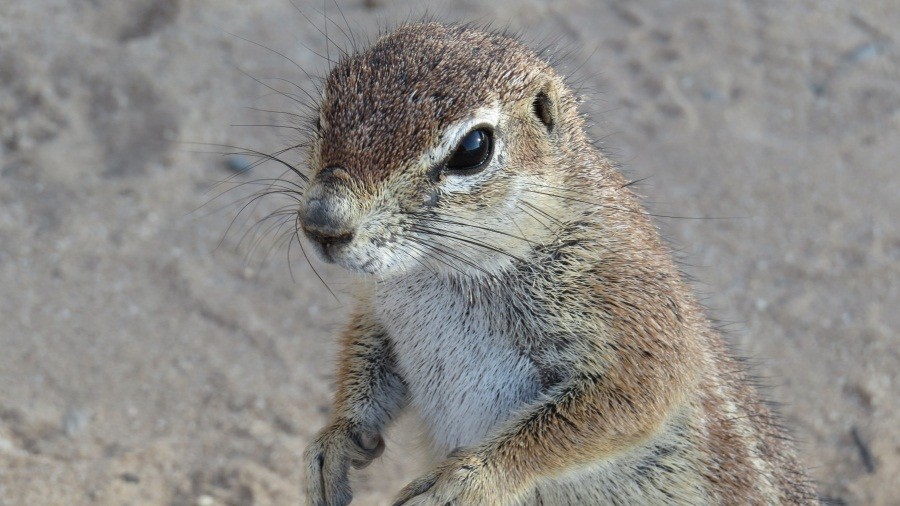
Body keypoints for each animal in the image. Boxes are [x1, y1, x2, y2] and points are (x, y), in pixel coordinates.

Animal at [296, 21, 816, 504]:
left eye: (473, 149)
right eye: (324, 110)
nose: (321, 224)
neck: (442, 272)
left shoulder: (631, 318)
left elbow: (623, 403)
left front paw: (463, 482)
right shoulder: (380, 310)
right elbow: (365, 356)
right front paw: (334, 444)